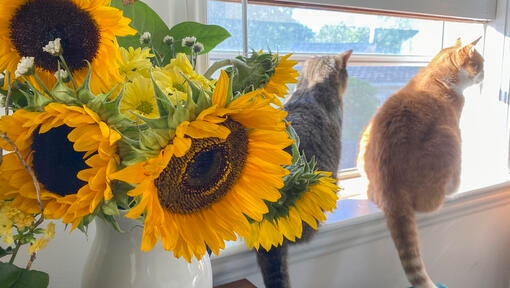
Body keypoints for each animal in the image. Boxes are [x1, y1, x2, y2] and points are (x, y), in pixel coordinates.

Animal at [356, 37, 484, 288]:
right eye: (480, 64)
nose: (485, 74)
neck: (436, 73)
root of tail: (391, 189)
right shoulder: (456, 128)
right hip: (449, 138)